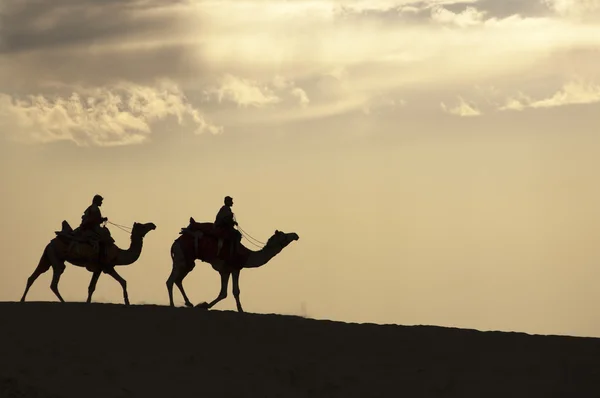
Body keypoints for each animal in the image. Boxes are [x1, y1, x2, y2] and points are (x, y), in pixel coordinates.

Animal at [20, 221, 157, 304]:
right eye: (143, 226)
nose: (153, 225)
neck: (118, 254)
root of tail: (50, 243)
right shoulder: (107, 267)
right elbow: (122, 281)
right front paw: (127, 301)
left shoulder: (99, 269)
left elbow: (92, 287)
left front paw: (88, 301)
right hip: (57, 259)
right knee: (54, 282)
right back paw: (63, 302)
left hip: (47, 257)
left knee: (33, 276)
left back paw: (22, 300)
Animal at [166, 216, 300, 312]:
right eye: (283, 235)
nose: (295, 235)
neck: (247, 255)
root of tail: (175, 243)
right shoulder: (234, 268)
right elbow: (234, 291)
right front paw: (239, 309)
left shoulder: (226, 270)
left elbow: (224, 293)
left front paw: (203, 305)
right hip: (182, 257)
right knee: (171, 280)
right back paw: (172, 305)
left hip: (187, 261)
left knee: (178, 279)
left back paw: (188, 303)